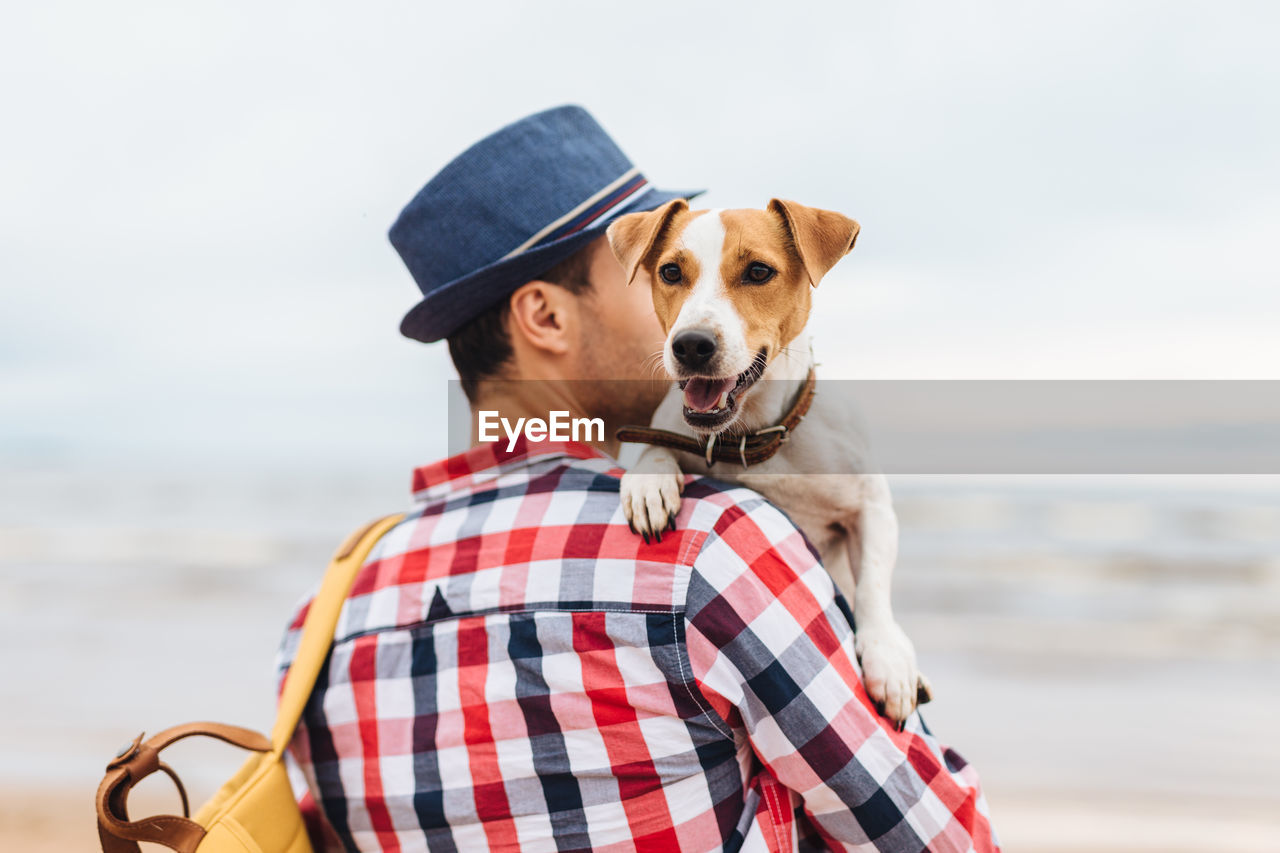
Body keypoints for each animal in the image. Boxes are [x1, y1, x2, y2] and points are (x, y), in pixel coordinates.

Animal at [606, 195, 931, 722]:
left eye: (759, 271)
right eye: (671, 271)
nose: (690, 344)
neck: (752, 437)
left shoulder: (871, 506)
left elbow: (872, 583)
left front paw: (888, 658)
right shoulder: (665, 425)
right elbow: (652, 441)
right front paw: (649, 482)